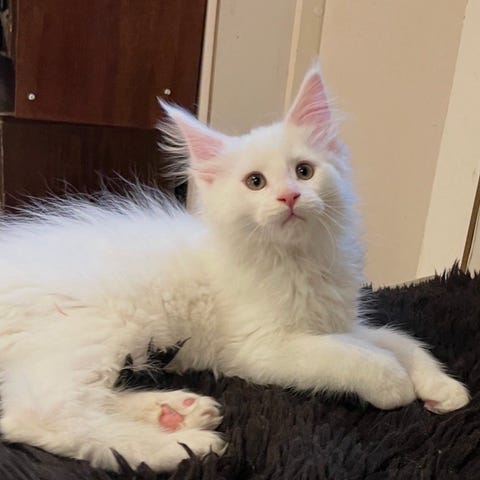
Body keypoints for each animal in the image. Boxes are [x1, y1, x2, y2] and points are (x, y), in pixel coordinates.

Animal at [0, 65, 469, 472]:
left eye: (304, 171)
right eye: (255, 182)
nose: (289, 197)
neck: (296, 261)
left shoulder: (335, 322)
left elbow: (396, 340)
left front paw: (441, 386)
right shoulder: (261, 346)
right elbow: (355, 356)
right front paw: (394, 385)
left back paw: (175, 411)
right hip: (91, 329)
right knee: (39, 412)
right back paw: (181, 445)